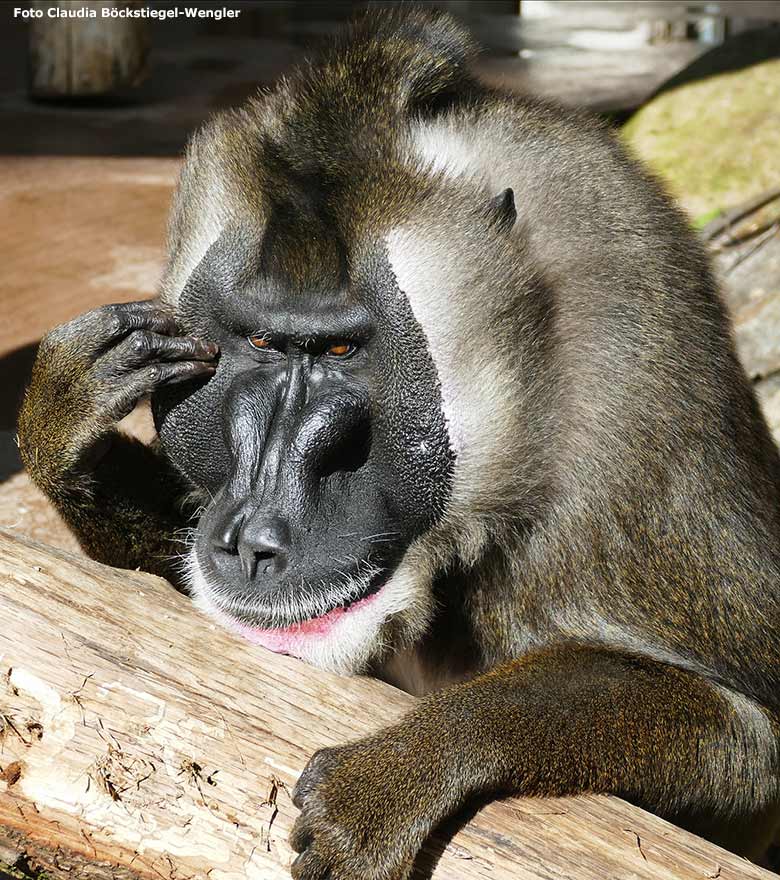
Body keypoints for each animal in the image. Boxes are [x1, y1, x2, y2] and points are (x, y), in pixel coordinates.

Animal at [16, 8, 780, 880]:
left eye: (344, 351)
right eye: (261, 343)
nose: (251, 541)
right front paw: (65, 425)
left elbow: (745, 732)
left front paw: (401, 769)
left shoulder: (631, 426)